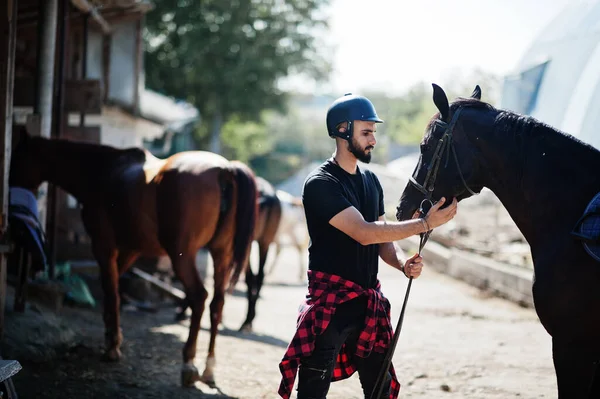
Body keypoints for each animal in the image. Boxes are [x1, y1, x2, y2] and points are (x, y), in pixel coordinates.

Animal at [8, 127, 258, 388]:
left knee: (198, 296)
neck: (102, 172)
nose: (10, 187)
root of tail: (225, 169)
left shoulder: (104, 246)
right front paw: (112, 336)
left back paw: (189, 365)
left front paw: (111, 346)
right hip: (221, 255)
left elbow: (111, 290)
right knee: (217, 303)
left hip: (182, 256)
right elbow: (114, 286)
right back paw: (209, 368)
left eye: (17, 157)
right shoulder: (131, 250)